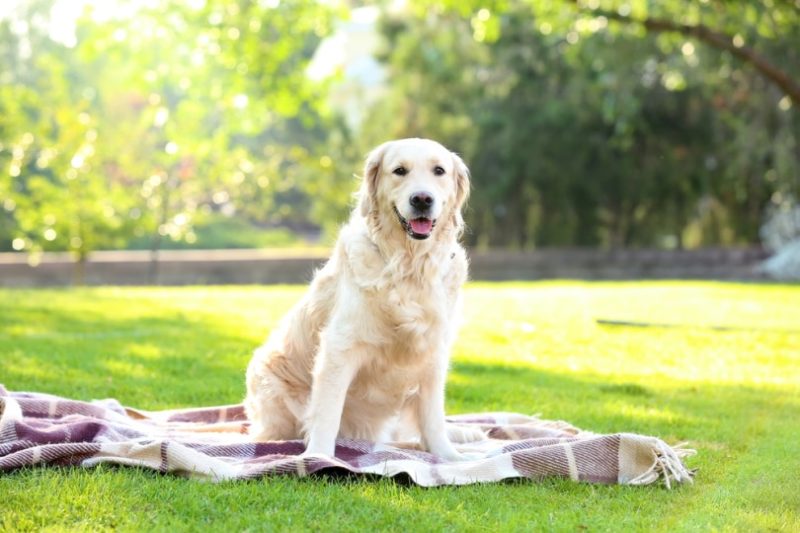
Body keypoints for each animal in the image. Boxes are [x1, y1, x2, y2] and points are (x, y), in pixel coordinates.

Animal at [244, 139, 484, 460]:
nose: (422, 199)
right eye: (399, 171)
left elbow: (432, 416)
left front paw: (449, 457)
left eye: (439, 171)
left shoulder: (433, 350)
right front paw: (318, 457)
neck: (408, 266)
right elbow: (327, 413)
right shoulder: (340, 347)